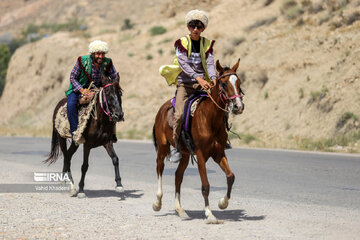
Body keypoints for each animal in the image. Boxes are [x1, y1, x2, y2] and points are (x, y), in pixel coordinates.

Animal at [152, 58, 245, 223]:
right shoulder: (201, 155)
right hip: (163, 148)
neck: (210, 118)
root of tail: (161, 109)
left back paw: (180, 209)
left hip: (185, 154)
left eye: (239, 82)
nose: (238, 106)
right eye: (224, 84)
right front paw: (210, 214)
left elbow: (230, 176)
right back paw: (157, 203)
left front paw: (222, 203)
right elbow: (205, 185)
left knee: (178, 176)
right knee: (159, 169)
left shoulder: (218, 153)